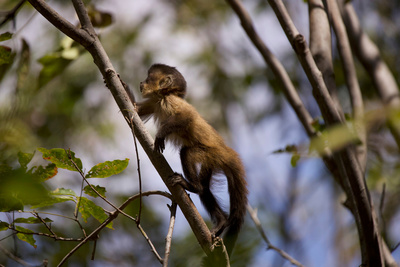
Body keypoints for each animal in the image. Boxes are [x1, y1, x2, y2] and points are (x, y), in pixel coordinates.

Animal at [136, 63, 247, 256]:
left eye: (148, 78)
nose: (142, 83)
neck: (162, 96)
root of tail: (226, 152)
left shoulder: (169, 101)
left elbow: (187, 118)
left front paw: (161, 134)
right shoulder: (154, 102)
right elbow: (134, 108)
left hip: (209, 153)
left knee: (186, 153)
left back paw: (192, 186)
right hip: (212, 162)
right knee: (205, 191)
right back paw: (220, 221)